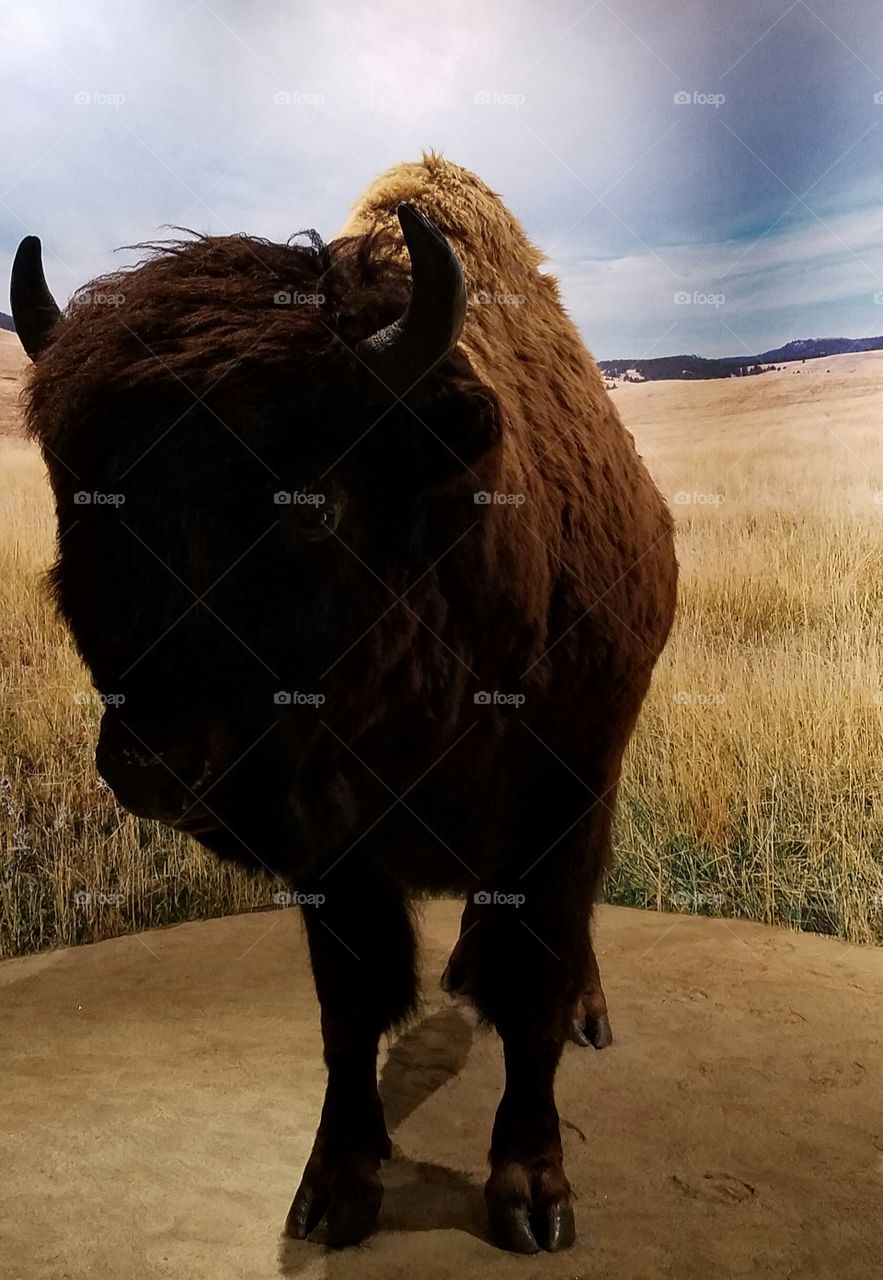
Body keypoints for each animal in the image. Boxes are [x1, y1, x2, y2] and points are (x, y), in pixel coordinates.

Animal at [12, 154, 677, 1253]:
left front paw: (530, 1191)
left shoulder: (560, 799)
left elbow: (529, 987)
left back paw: (587, 1012)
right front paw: (335, 1186)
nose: (154, 763)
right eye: (84, 504)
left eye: (314, 504)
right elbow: (351, 1004)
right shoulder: (334, 852)